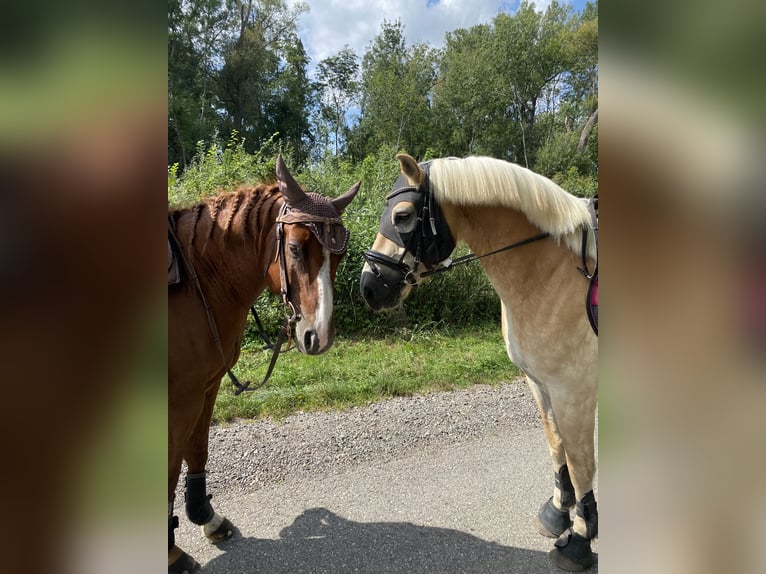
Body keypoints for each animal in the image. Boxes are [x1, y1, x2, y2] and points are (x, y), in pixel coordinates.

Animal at [169, 155, 360, 572]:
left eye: (339, 256)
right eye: (295, 248)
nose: (319, 336)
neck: (197, 279)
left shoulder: (206, 387)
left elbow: (197, 450)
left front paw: (206, 518)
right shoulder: (179, 400)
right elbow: (170, 467)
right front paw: (172, 552)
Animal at [362, 155, 600, 572]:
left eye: (403, 215)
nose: (368, 287)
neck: (552, 273)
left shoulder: (574, 391)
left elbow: (580, 460)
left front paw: (580, 540)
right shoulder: (540, 384)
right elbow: (556, 446)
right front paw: (558, 512)